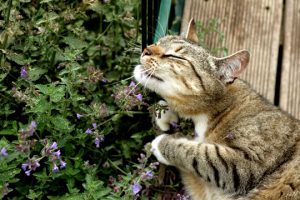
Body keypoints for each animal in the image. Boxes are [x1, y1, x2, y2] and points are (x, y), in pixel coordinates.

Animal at [133, 19, 300, 200]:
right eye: (158, 42)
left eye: (175, 56)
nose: (146, 49)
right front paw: (166, 113)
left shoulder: (247, 162)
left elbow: (198, 154)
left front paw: (162, 143)